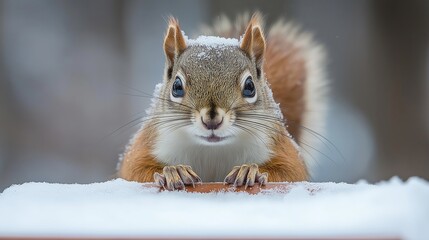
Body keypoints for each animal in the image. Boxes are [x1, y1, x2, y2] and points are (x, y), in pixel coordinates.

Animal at [115, 13, 326, 190]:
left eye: (250, 86)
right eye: (177, 86)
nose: (212, 119)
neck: (212, 150)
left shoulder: (281, 148)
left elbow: (291, 171)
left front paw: (250, 170)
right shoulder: (146, 145)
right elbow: (134, 170)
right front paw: (174, 172)